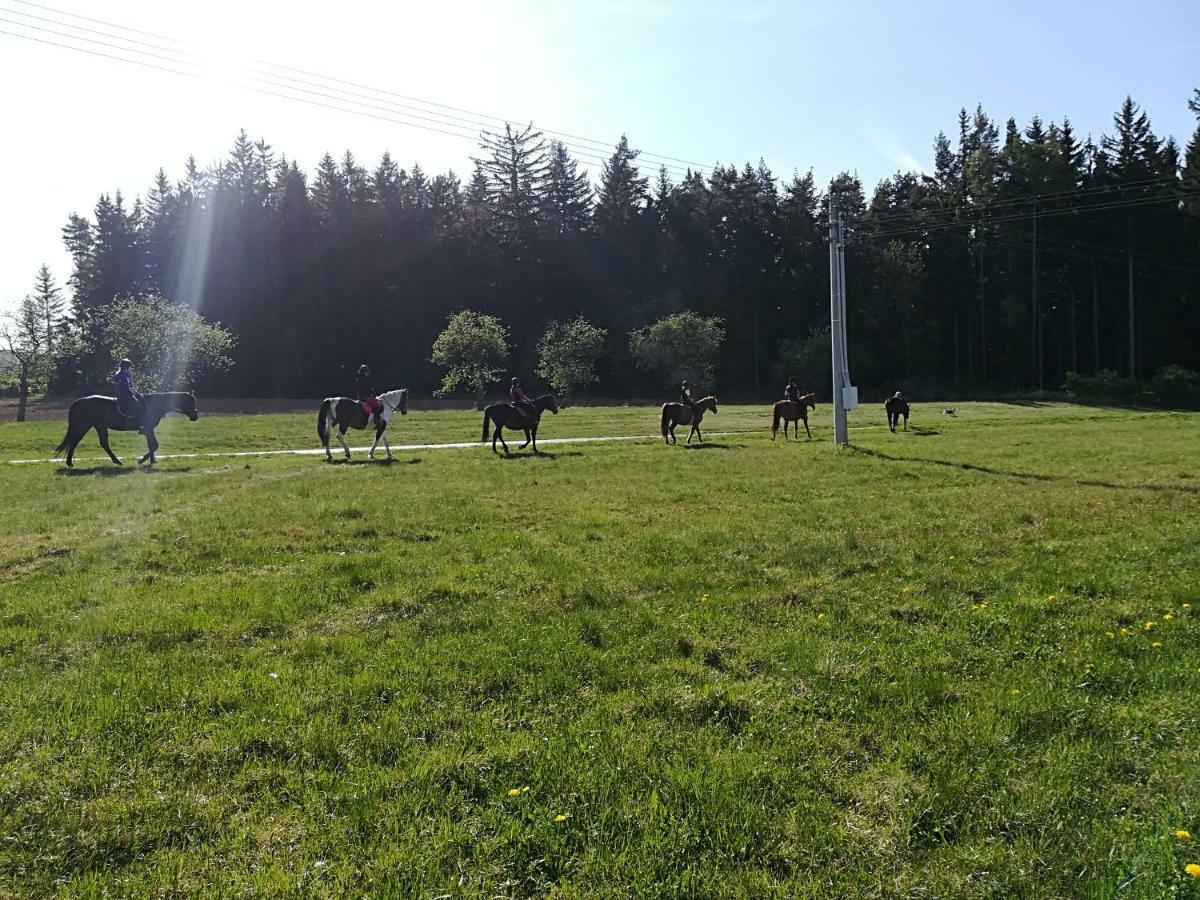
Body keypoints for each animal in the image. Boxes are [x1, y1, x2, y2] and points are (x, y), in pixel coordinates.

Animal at [54, 391, 198, 468]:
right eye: (191, 401)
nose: (195, 417)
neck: (155, 404)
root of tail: (78, 402)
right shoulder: (148, 428)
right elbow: (154, 445)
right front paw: (142, 460)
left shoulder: (148, 430)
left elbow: (151, 445)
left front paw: (152, 460)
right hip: (87, 425)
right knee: (78, 442)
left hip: (95, 426)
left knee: (82, 442)